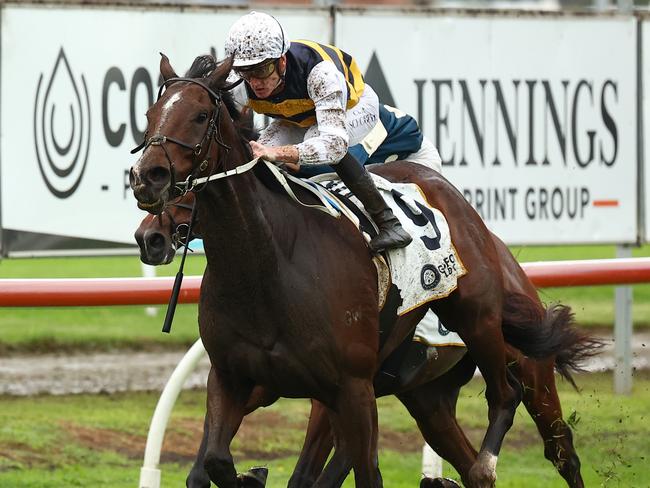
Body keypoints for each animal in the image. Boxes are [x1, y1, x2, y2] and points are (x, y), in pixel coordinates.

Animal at [130, 55, 596, 486]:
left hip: (488, 327)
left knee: (539, 428)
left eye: (200, 116)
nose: (146, 181)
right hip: (428, 399)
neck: (265, 268)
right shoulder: (233, 379)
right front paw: (250, 475)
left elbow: (346, 472)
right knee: (469, 460)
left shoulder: (348, 388)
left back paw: (494, 455)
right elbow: (212, 462)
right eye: (150, 114)